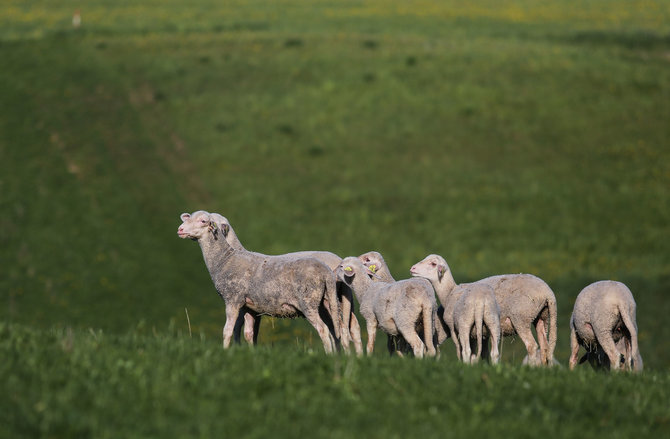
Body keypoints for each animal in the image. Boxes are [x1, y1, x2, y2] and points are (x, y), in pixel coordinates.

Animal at [178, 210, 342, 354]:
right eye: (188, 218)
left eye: (203, 221)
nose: (180, 229)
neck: (224, 259)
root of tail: (326, 271)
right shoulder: (250, 306)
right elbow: (249, 333)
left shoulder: (233, 299)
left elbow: (228, 330)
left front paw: (225, 352)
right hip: (326, 303)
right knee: (335, 330)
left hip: (308, 302)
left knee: (323, 329)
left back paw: (329, 355)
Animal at [213, 213, 364, 358]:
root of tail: (340, 261)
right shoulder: (255, 307)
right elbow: (250, 330)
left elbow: (237, 327)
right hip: (341, 301)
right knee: (351, 326)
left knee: (340, 328)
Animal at [412, 254, 560, 368]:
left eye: (433, 263)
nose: (412, 268)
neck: (450, 292)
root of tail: (548, 293)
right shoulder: (482, 332)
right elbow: (483, 353)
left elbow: (465, 351)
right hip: (541, 317)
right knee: (545, 347)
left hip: (521, 318)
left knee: (532, 346)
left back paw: (531, 368)